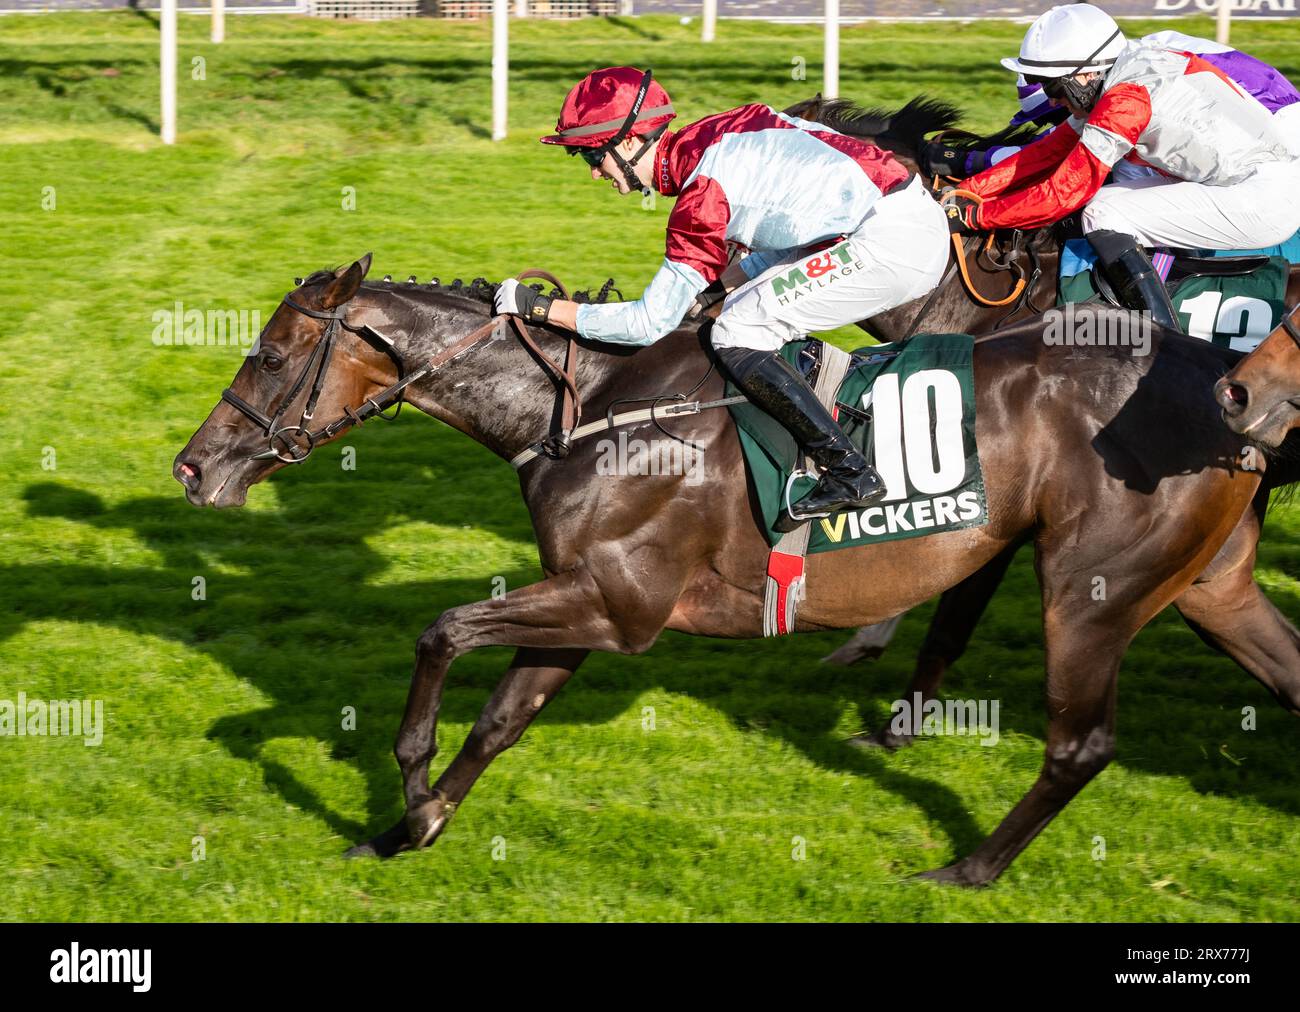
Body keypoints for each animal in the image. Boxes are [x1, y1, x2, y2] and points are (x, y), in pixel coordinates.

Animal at [172, 258, 1289, 884]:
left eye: (270, 356)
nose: (191, 466)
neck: (591, 410)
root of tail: (1217, 376)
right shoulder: (589, 606)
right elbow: (500, 719)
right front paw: (412, 827)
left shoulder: (617, 606)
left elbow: (439, 631)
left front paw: (408, 785)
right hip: (1212, 589)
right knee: (1282, 674)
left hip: (1089, 589)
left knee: (1081, 744)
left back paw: (967, 867)